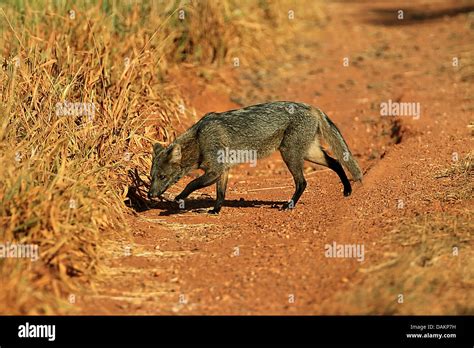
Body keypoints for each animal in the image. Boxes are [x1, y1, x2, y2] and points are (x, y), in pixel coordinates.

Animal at [148, 102, 362, 213]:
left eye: (163, 177)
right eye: (151, 177)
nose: (150, 194)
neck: (199, 139)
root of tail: (311, 107)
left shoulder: (215, 170)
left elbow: (191, 184)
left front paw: (179, 198)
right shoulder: (223, 171)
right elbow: (220, 194)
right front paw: (215, 211)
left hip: (290, 155)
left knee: (303, 182)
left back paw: (289, 205)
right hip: (309, 153)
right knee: (336, 162)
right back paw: (347, 190)